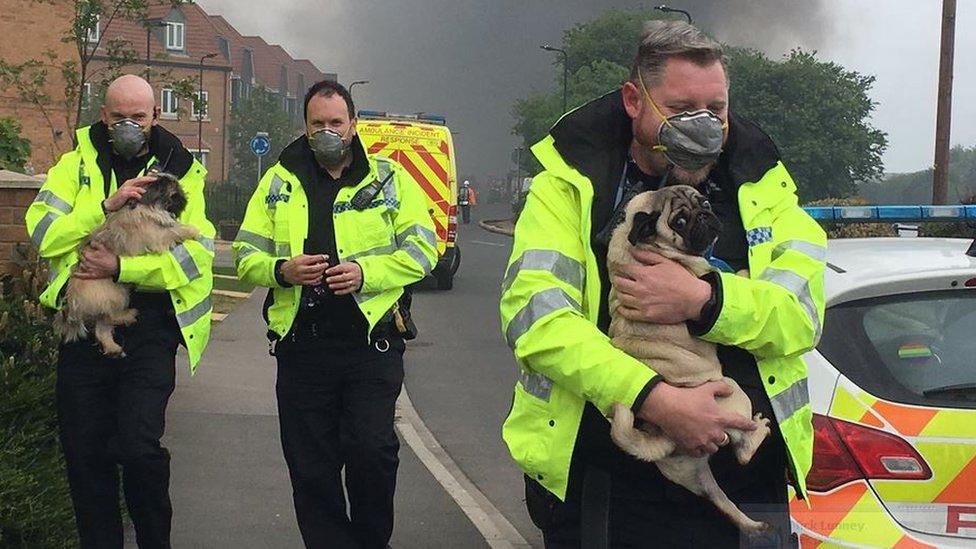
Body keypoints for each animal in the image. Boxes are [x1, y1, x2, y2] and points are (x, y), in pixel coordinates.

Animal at [54, 172, 198, 360]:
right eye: (173, 194)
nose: (183, 195)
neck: (143, 206)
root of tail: (72, 306)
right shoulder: (158, 236)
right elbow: (173, 230)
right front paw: (192, 230)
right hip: (117, 295)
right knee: (110, 317)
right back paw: (129, 315)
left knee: (102, 329)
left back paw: (113, 347)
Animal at [608, 184, 772, 532]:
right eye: (680, 222)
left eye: (704, 203)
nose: (705, 216)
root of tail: (664, 435)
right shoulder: (702, 272)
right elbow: (728, 275)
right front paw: (744, 273)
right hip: (733, 393)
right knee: (743, 453)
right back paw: (759, 430)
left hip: (694, 476)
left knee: (721, 499)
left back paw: (752, 525)